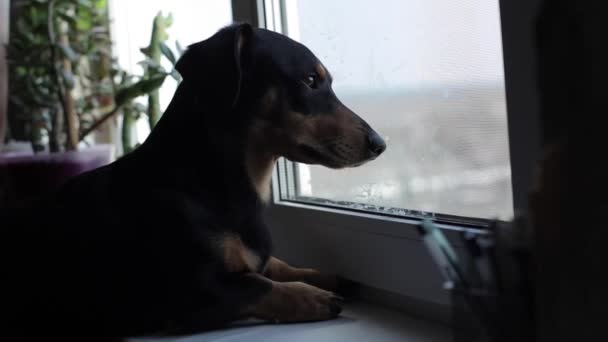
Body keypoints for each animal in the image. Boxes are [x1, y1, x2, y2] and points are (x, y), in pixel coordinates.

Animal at [1, 22, 384, 340]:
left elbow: (273, 264)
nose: (379, 144)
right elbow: (256, 285)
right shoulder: (187, 296)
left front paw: (326, 276)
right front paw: (313, 295)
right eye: (310, 81)